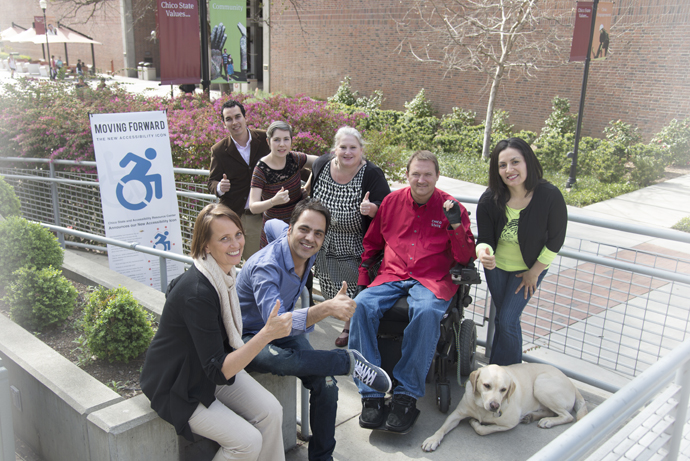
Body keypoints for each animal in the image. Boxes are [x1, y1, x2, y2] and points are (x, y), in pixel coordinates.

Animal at [420, 362, 584, 450]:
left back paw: (548, 421)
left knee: (567, 416)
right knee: (550, 411)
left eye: (504, 389)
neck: (482, 408)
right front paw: (432, 440)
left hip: (541, 384)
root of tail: (571, 382)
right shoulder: (456, 414)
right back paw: (532, 416)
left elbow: (484, 430)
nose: (494, 405)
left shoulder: (510, 423)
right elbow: (442, 428)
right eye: (486, 385)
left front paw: (476, 423)